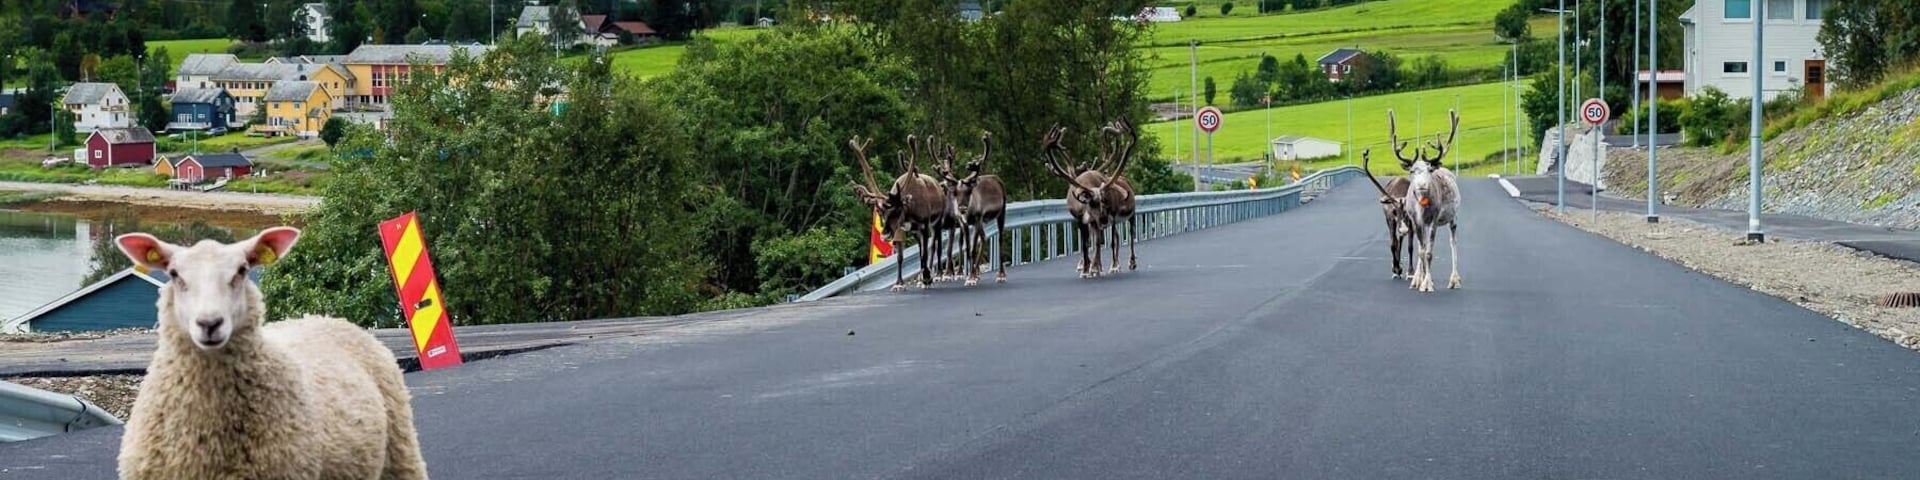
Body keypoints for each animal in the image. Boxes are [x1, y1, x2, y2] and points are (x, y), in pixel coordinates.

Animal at [849, 135, 949, 290]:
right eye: (880, 212)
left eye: (897, 210)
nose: (884, 234)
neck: (909, 213)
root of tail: (939, 186)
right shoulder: (900, 230)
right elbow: (900, 257)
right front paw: (899, 283)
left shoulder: (924, 225)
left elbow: (926, 253)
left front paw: (927, 277)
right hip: (916, 232)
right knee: (922, 247)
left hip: (937, 223)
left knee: (935, 246)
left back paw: (937, 274)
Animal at [941, 131, 1008, 286]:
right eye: (955, 192)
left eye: (968, 192)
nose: (962, 208)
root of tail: (997, 179)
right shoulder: (965, 223)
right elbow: (967, 247)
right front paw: (970, 275)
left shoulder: (977, 219)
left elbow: (972, 248)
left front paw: (971, 277)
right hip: (982, 221)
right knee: (983, 238)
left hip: (1001, 212)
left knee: (1000, 239)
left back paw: (1001, 274)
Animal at [1362, 149, 1416, 279]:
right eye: (1395, 211)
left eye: (1409, 211)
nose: (1403, 229)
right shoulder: (1390, 218)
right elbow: (1392, 243)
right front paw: (1395, 269)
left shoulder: (1412, 222)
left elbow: (1410, 247)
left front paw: (1410, 272)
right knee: (1396, 239)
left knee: (1401, 240)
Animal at [1384, 109, 1463, 292]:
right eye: (1412, 170)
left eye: (1429, 170)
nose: (1421, 185)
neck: (1422, 207)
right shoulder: (1416, 220)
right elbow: (1421, 251)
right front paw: (1420, 281)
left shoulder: (1433, 220)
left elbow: (1428, 253)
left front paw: (1428, 284)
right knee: (1423, 245)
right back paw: (1416, 279)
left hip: (1453, 217)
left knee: (1453, 242)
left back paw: (1454, 280)